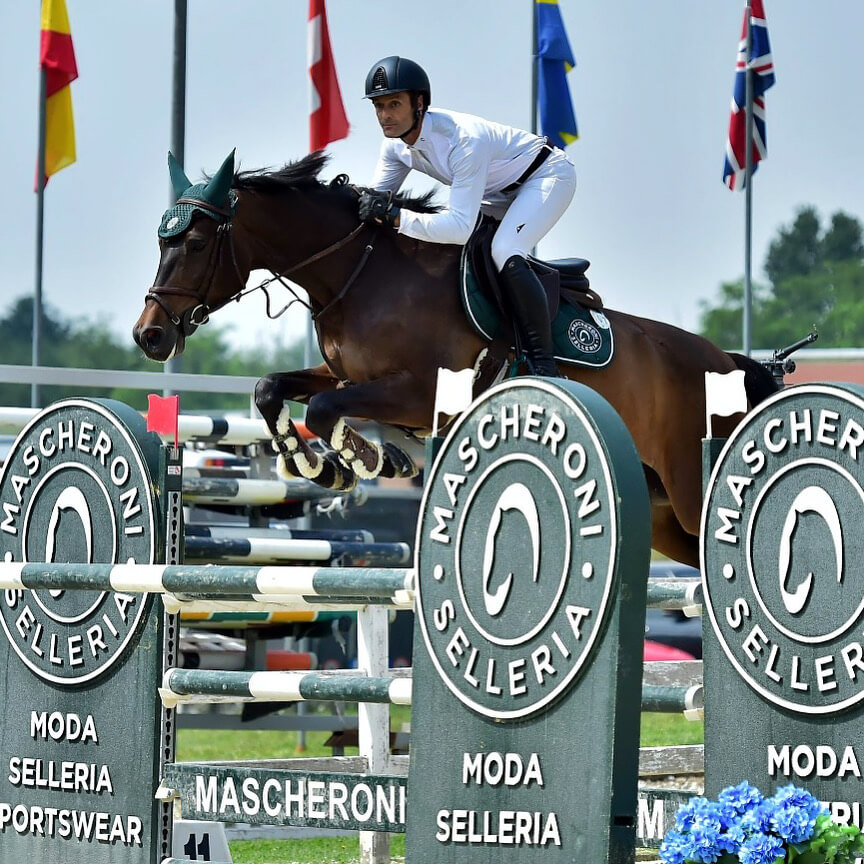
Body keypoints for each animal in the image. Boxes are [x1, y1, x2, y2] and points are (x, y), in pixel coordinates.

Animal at [133, 150, 776, 568]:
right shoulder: (345, 373)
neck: (361, 272)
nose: (149, 336)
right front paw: (327, 466)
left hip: (690, 488)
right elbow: (274, 389)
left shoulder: (421, 392)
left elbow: (323, 408)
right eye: (161, 240)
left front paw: (371, 458)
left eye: (194, 243)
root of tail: (725, 360)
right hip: (664, 511)